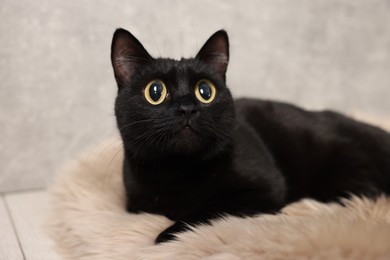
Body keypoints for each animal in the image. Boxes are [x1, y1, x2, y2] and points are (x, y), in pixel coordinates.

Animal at [109, 29, 390, 244]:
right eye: (155, 91)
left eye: (205, 91)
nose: (187, 108)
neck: (177, 172)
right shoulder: (136, 206)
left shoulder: (265, 189)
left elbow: (208, 209)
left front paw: (168, 236)